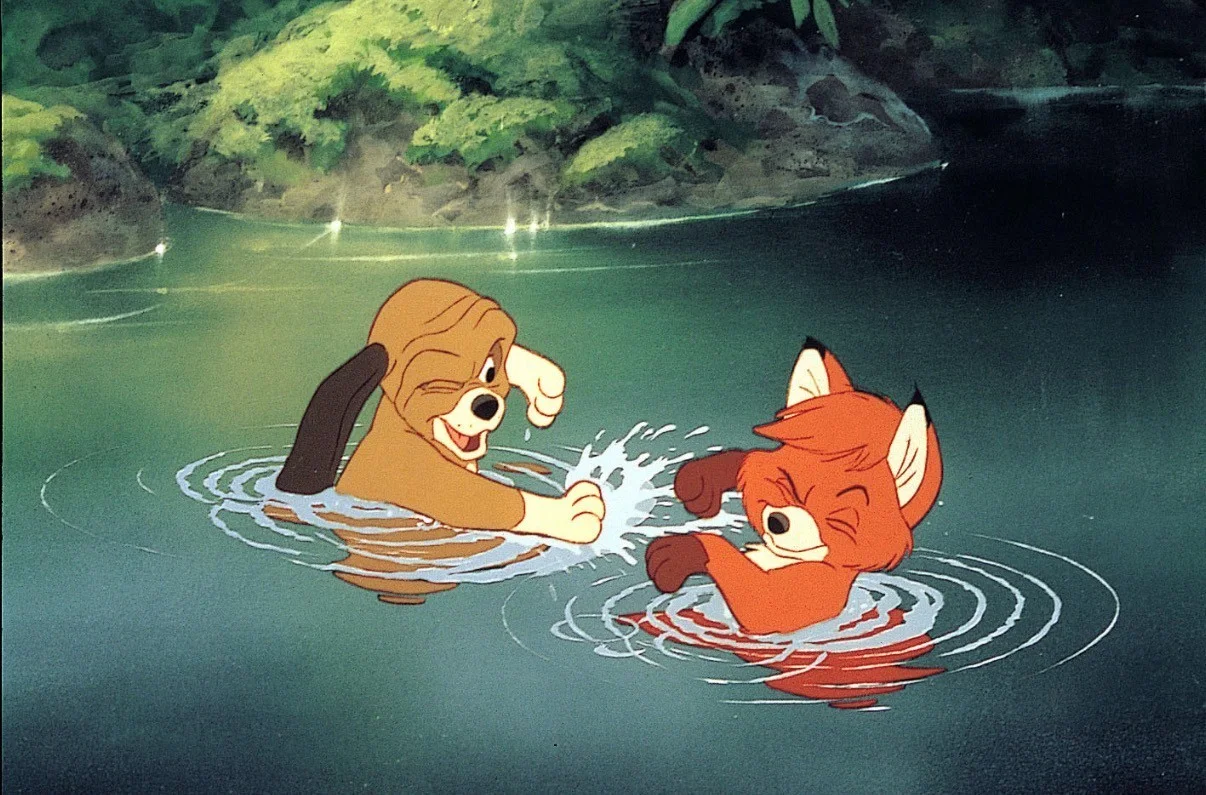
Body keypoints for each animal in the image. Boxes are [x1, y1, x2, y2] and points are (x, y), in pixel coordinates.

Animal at [645, 339, 942, 635]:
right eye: (786, 483)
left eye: (839, 514)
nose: (778, 521)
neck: (783, 557)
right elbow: (748, 462)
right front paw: (701, 479)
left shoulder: (812, 588)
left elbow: (763, 604)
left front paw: (683, 552)